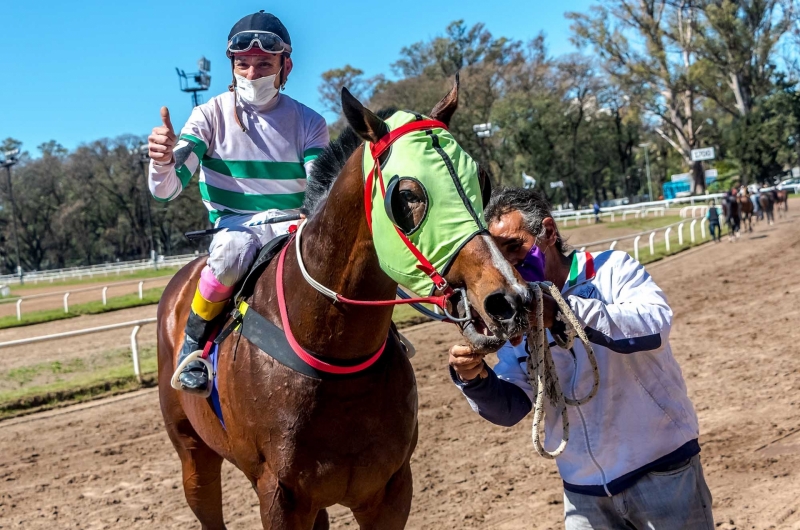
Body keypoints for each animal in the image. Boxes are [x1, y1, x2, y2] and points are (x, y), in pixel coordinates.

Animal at [156, 79, 532, 528]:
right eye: (408, 195)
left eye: (484, 180)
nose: (509, 299)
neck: (334, 354)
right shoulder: (279, 496)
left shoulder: (389, 488)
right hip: (193, 454)